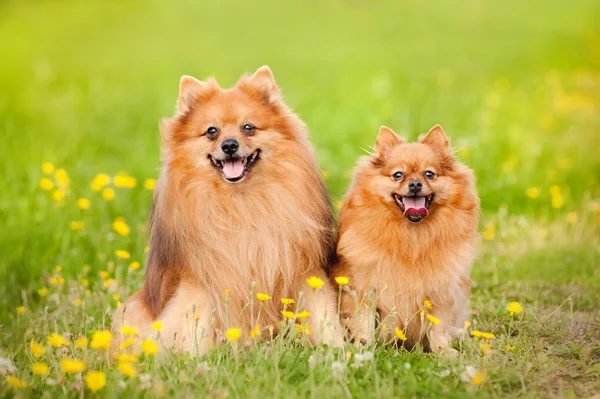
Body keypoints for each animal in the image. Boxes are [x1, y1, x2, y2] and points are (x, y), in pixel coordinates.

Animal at [109, 67, 342, 358]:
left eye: (248, 128)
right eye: (212, 131)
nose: (229, 145)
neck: (240, 202)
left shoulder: (303, 271)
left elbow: (322, 315)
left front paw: (338, 351)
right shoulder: (200, 282)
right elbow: (192, 326)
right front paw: (193, 360)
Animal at [332, 125, 478, 356]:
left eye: (429, 174)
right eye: (398, 175)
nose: (415, 184)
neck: (411, 237)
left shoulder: (441, 292)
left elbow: (438, 326)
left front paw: (442, 351)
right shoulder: (364, 289)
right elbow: (364, 323)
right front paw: (364, 349)